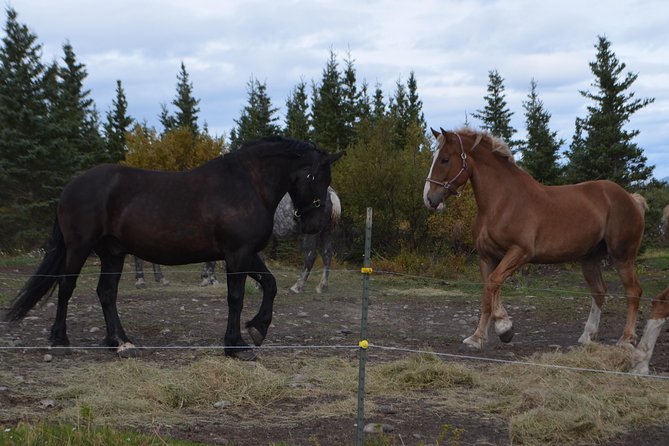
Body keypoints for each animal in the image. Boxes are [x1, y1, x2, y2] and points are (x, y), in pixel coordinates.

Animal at [200, 187, 341, 293]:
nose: (204, 278)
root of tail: (330, 194)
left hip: (310, 235)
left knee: (310, 257)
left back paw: (298, 287)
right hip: (326, 233)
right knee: (327, 255)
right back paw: (322, 287)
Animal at [423, 127, 646, 351]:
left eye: (444, 159)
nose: (429, 199)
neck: (501, 202)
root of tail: (630, 198)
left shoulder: (520, 252)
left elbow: (494, 282)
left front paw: (504, 328)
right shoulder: (486, 257)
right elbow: (488, 292)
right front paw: (477, 338)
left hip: (622, 256)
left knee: (633, 291)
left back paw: (626, 339)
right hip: (589, 259)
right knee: (599, 292)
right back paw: (587, 336)